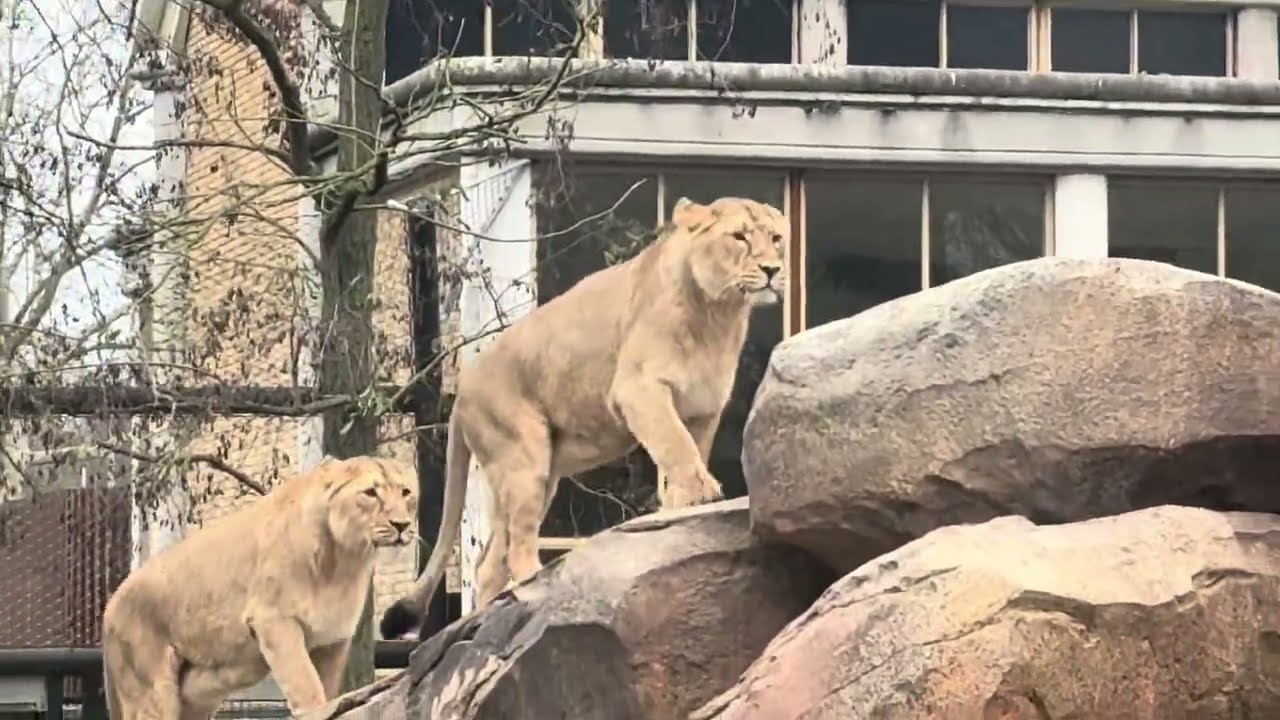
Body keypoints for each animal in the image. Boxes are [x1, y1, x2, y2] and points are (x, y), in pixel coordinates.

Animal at [102, 455, 418, 719]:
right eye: (370, 493)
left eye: (406, 492)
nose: (402, 525)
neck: (346, 560)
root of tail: (109, 606)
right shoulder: (273, 618)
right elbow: (304, 680)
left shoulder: (333, 639)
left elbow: (326, 686)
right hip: (151, 689)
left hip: (197, 690)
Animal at [379, 195, 788, 640]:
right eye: (739, 237)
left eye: (776, 238)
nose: (773, 270)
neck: (719, 313)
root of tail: (462, 392)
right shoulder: (637, 389)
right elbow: (676, 446)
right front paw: (703, 494)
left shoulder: (703, 408)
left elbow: (684, 454)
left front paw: (682, 508)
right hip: (524, 458)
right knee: (518, 548)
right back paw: (531, 587)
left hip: (529, 478)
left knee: (491, 563)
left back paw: (482, 621)